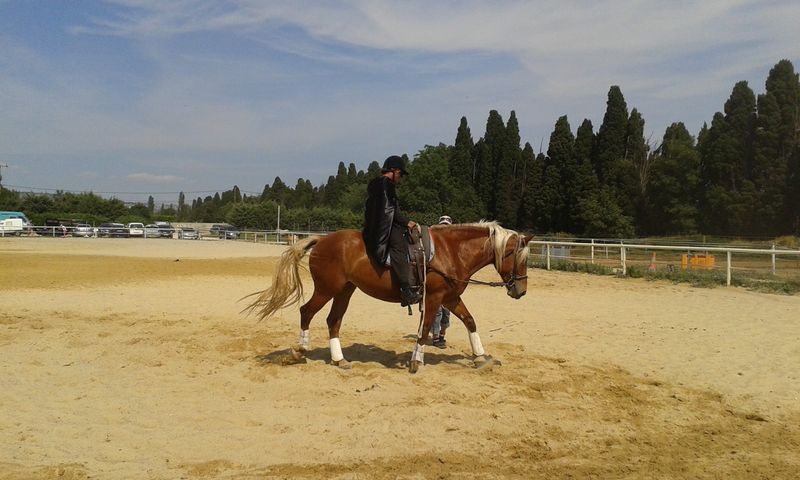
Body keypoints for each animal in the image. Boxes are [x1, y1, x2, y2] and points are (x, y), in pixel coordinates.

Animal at [244, 221, 532, 376]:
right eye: (518, 257)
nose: (521, 291)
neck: (450, 252)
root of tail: (322, 241)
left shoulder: (450, 299)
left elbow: (470, 322)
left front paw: (481, 357)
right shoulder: (434, 298)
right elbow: (424, 330)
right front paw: (416, 361)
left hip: (345, 291)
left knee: (332, 321)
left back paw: (339, 359)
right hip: (327, 289)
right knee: (307, 312)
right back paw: (299, 350)